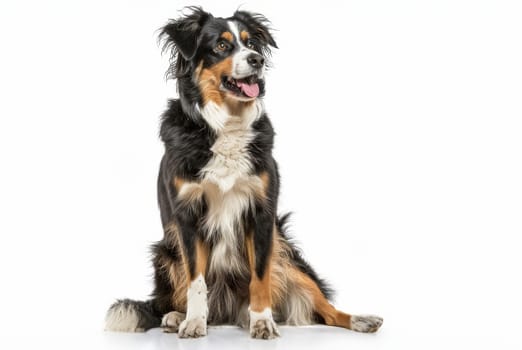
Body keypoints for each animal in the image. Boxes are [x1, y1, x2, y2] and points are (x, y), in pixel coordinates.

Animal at [105, 6, 382, 340]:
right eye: (222, 46)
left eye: (251, 43)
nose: (257, 60)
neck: (228, 122)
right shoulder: (187, 216)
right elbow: (196, 280)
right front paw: (194, 322)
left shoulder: (261, 212)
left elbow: (260, 278)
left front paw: (262, 322)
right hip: (166, 250)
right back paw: (175, 316)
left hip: (285, 251)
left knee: (325, 308)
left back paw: (359, 320)